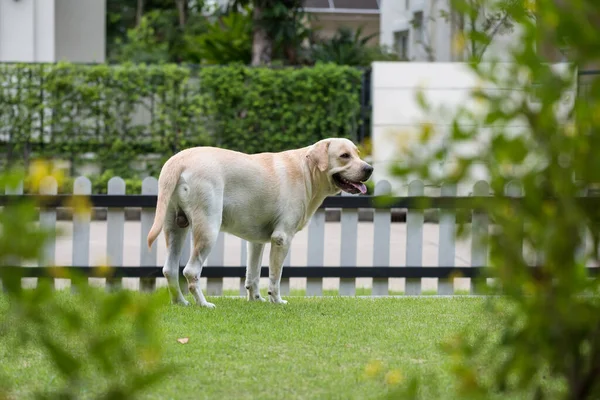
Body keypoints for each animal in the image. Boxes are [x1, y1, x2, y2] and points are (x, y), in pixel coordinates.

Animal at [146, 138, 370, 310]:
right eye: (344, 156)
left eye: (357, 154)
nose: (370, 168)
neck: (306, 170)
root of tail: (178, 160)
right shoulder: (282, 238)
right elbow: (275, 277)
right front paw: (276, 300)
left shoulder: (256, 242)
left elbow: (252, 275)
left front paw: (256, 299)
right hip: (208, 228)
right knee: (190, 271)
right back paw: (204, 304)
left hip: (175, 228)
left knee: (169, 269)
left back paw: (180, 302)